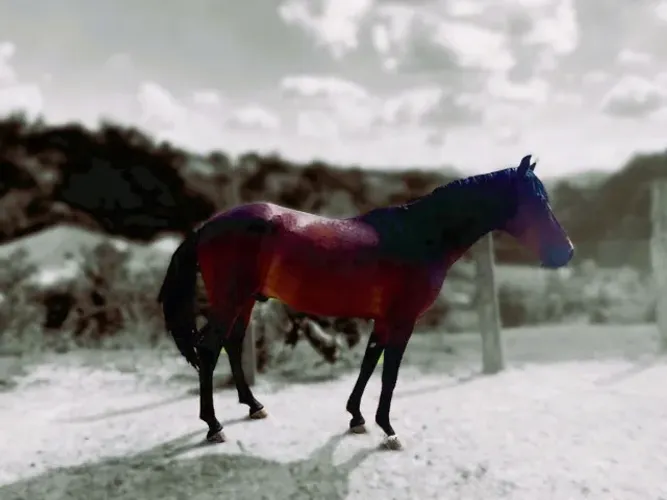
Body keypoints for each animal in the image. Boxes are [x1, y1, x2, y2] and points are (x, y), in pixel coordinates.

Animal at [157, 154, 574, 450]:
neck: (419, 236)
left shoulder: (385, 319)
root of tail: (208, 226)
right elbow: (389, 373)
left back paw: (253, 405)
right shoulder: (403, 320)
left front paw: (356, 417)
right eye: (537, 202)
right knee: (209, 349)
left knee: (231, 344)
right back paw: (214, 426)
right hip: (230, 300)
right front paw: (388, 429)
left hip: (243, 302)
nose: (566, 252)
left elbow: (370, 362)